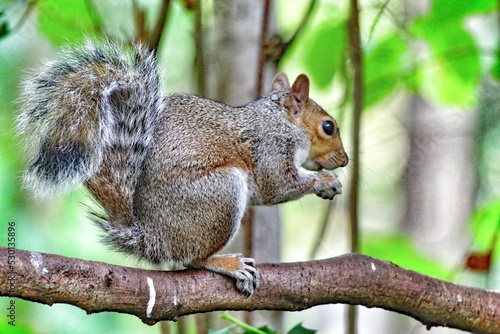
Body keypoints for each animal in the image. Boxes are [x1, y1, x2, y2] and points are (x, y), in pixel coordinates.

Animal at [16, 39, 348, 294]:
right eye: (328, 127)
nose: (345, 160)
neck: (280, 120)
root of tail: (151, 236)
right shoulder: (272, 147)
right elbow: (278, 186)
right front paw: (325, 181)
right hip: (219, 194)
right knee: (192, 258)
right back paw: (227, 263)